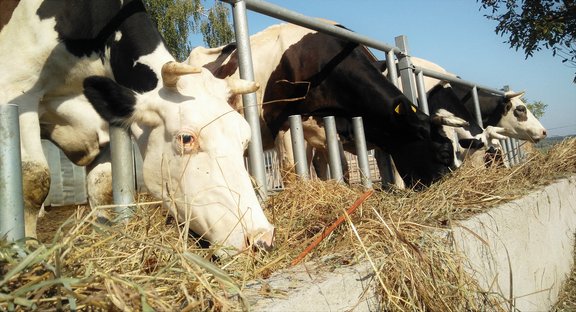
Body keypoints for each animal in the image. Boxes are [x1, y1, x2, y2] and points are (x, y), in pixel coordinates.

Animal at [0, 0, 274, 254]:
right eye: (186, 138)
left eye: (245, 140)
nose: (261, 239)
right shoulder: (16, 94)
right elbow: (35, 178)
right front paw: (28, 251)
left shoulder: (106, 120)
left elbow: (102, 187)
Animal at [187, 23, 470, 188]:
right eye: (443, 153)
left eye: (457, 150)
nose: (451, 187)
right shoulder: (286, 123)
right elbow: (294, 171)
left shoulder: (327, 129)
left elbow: (339, 168)